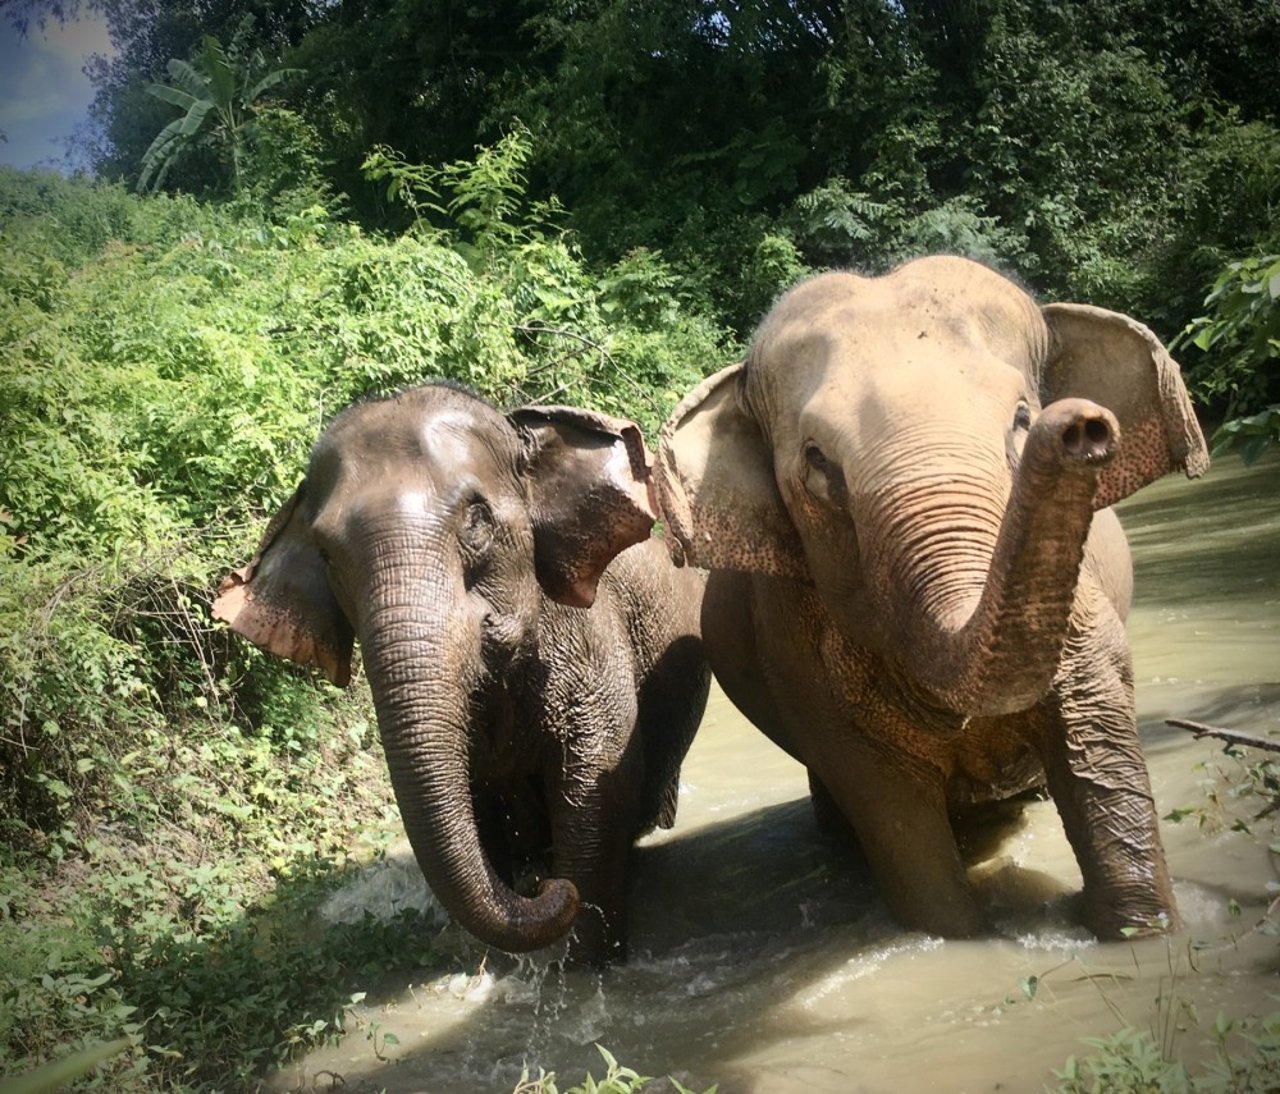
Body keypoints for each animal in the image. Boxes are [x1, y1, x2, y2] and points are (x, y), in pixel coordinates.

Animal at [211, 381, 711, 962]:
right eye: (328, 556)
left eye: (478, 522)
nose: (549, 885)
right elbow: (475, 808)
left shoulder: (590, 639)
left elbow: (597, 789)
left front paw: (586, 963)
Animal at [660, 257, 1208, 941]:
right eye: (817, 462)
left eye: (1021, 416)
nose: (1081, 425)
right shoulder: (802, 662)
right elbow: (895, 817)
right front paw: (960, 935)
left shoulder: (1085, 614)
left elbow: (1097, 740)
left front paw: (1144, 930)